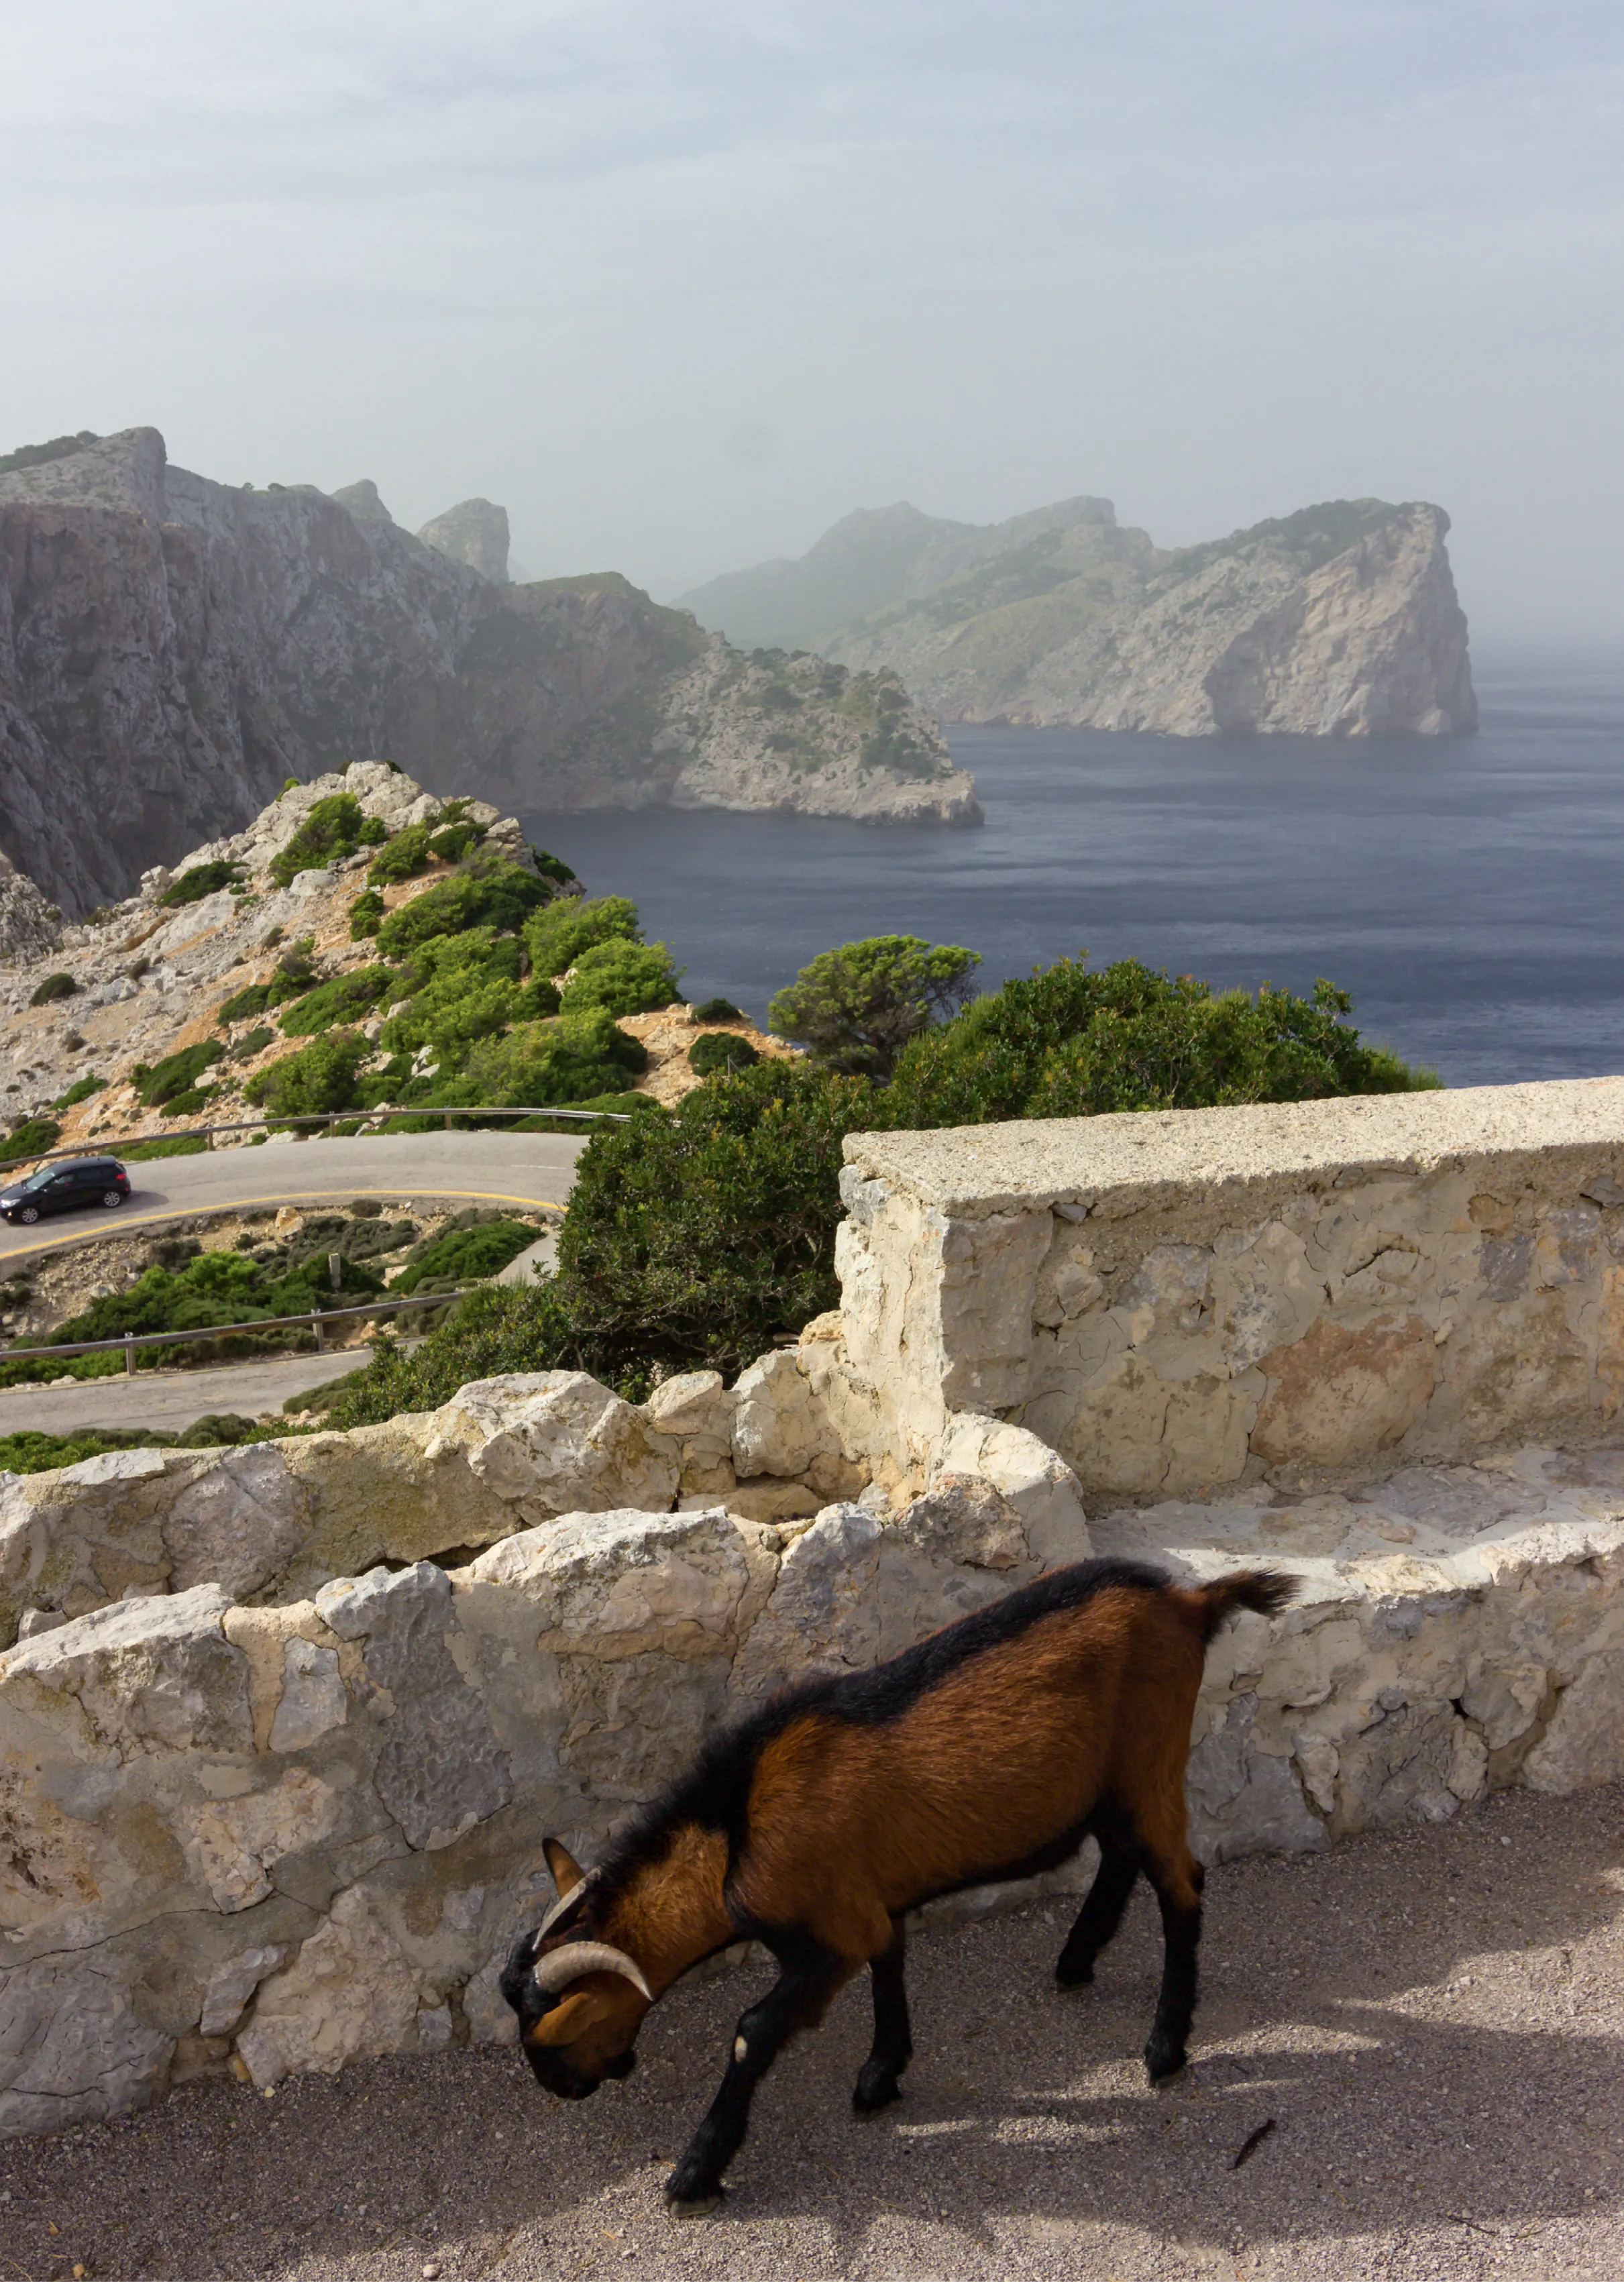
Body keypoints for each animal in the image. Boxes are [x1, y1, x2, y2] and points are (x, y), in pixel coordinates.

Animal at [501, 1555, 1296, 2216]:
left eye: (556, 2032)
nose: (559, 2087)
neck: (735, 1829)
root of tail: (1191, 1601)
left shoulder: (829, 1938)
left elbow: (753, 2031)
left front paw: (694, 2175)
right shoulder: (871, 1905)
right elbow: (890, 1966)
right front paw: (881, 2078)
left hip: (1151, 1763)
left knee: (1181, 1883)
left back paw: (1164, 2049)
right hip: (1108, 1784)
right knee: (1121, 1856)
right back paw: (1076, 1961)